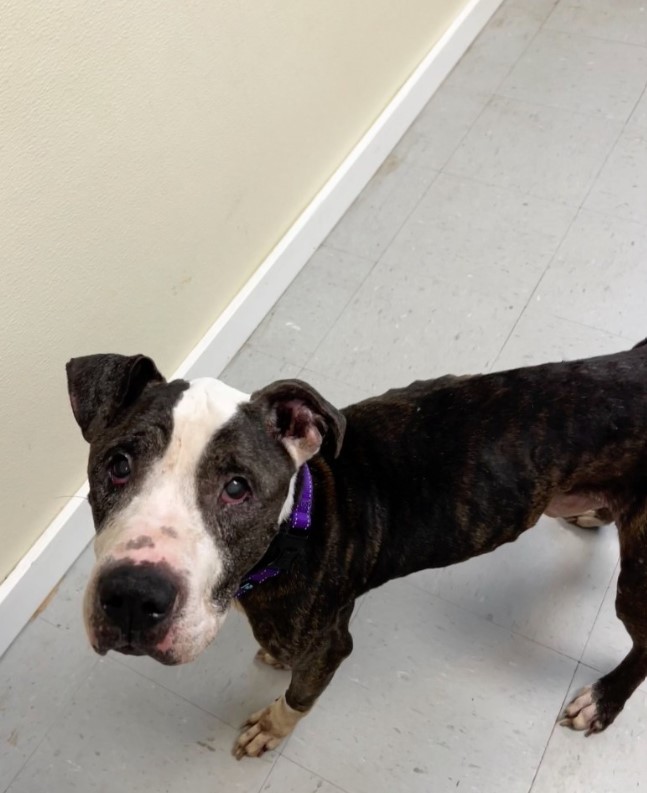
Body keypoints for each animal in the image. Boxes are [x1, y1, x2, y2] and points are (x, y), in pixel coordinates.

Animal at [64, 344, 647, 756]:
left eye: (236, 487)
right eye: (117, 464)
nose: (133, 597)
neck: (295, 524)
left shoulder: (330, 645)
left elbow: (300, 695)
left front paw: (271, 726)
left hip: (637, 577)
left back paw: (602, 701)